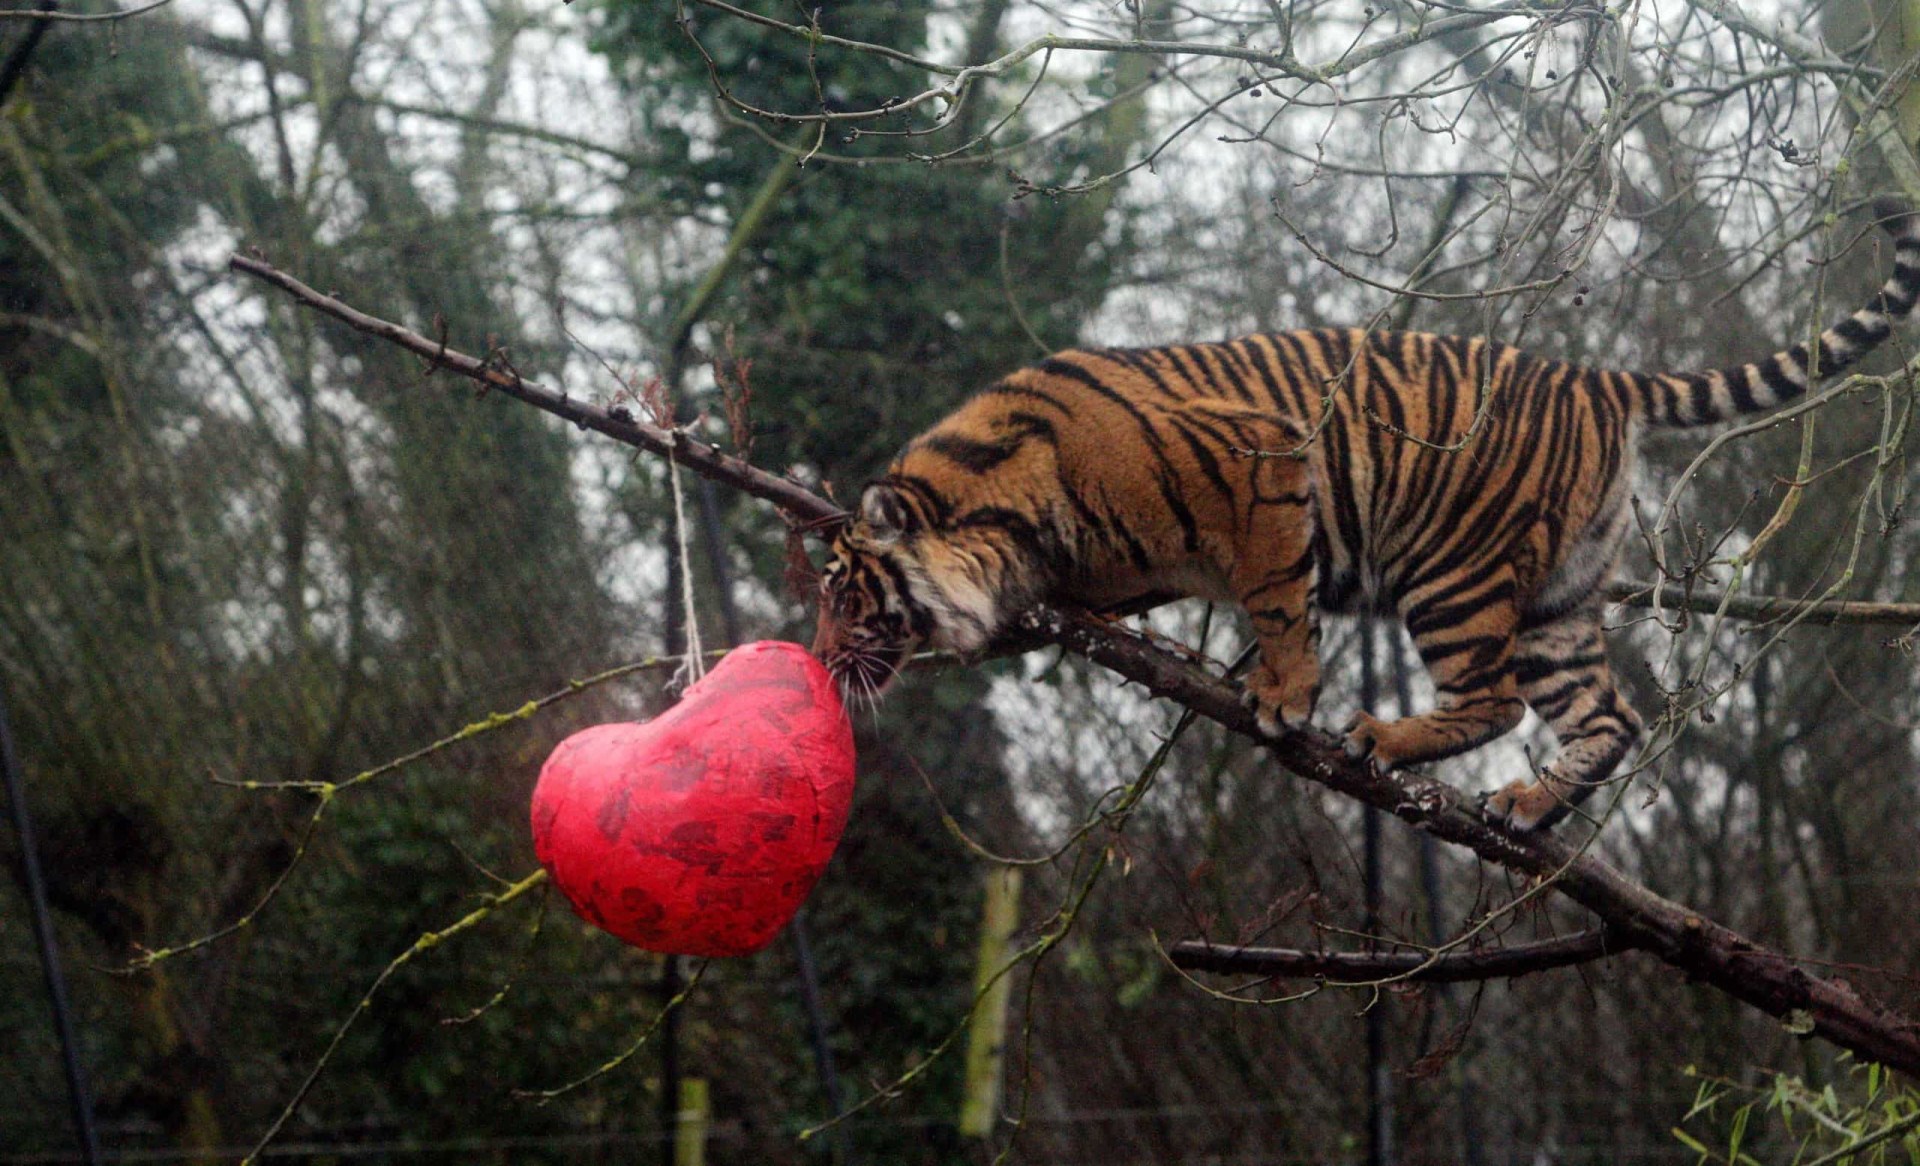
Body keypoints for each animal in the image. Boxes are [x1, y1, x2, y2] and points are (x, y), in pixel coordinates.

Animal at [810, 205, 1920, 833]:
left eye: (845, 598)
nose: (819, 659)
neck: (1007, 507)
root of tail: (1595, 376)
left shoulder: (1259, 468)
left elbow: (1277, 603)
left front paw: (1282, 695)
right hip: (1559, 600)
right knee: (1609, 714)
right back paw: (1525, 807)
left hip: (1451, 571)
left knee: (1496, 700)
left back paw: (1386, 736)